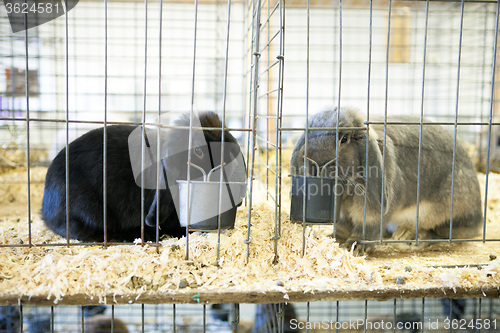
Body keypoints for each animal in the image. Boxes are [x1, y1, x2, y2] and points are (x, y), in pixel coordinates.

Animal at [290, 107, 484, 253]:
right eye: (308, 134)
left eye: (344, 139)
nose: (315, 164)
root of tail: (478, 218)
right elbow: (343, 226)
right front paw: (335, 238)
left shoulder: (371, 209)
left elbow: (368, 225)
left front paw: (356, 246)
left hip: (443, 207)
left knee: (442, 233)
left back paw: (409, 236)